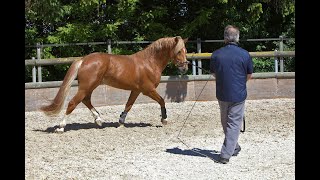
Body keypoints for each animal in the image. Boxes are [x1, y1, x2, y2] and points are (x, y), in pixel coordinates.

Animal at [41, 36, 189, 132]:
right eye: (178, 51)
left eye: (185, 51)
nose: (185, 68)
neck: (149, 62)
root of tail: (84, 59)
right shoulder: (148, 90)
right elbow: (162, 101)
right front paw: (164, 120)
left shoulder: (136, 90)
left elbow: (128, 105)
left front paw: (121, 122)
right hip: (86, 86)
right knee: (73, 102)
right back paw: (61, 127)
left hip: (90, 86)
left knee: (85, 100)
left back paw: (99, 120)